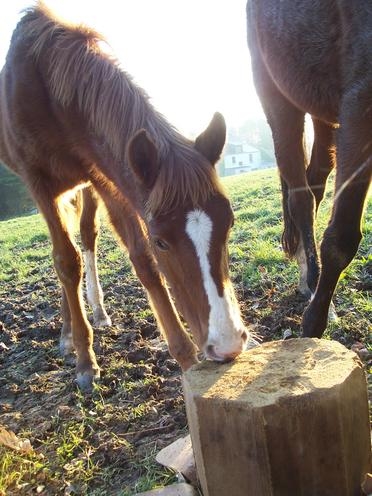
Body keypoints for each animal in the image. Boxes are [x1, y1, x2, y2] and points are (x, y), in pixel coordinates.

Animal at [0, 3, 253, 392]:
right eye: (162, 241)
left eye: (230, 223)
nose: (227, 346)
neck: (49, 91)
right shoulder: (38, 182)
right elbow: (65, 261)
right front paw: (85, 363)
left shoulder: (107, 176)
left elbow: (141, 261)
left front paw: (185, 357)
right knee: (66, 254)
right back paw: (69, 335)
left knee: (86, 235)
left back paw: (92, 315)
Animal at [247, 0, 372, 338]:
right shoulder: (360, 106)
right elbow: (342, 237)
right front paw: (312, 326)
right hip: (277, 96)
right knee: (300, 196)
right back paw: (313, 284)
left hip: (322, 109)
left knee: (315, 180)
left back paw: (309, 276)